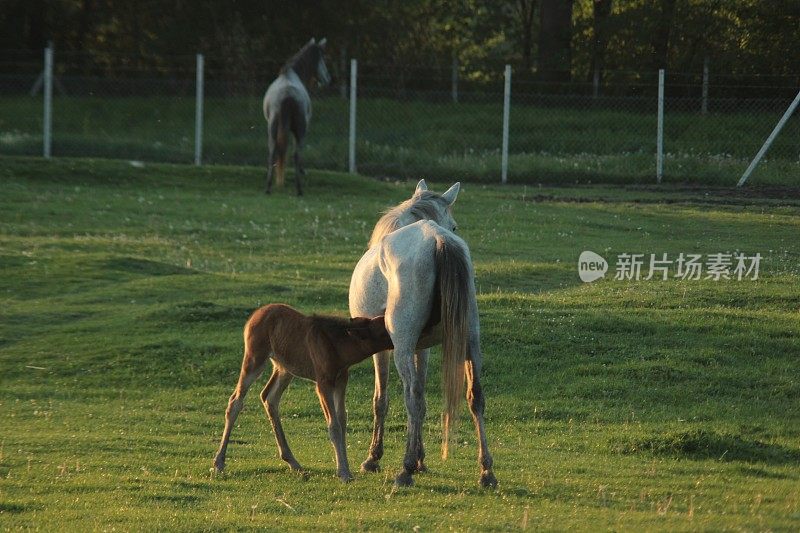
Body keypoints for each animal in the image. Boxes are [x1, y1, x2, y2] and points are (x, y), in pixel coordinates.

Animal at [209, 302, 390, 480]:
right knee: (236, 401)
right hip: (255, 359)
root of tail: (254, 316)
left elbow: (342, 420)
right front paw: (344, 473)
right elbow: (334, 425)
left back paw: (293, 462)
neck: (339, 345)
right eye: (385, 330)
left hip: (284, 368)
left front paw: (346, 469)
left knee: (269, 397)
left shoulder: (341, 380)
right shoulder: (322, 383)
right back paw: (219, 462)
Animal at [264, 37, 330, 195]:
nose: (327, 79)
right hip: (300, 128)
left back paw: (268, 187)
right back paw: (299, 188)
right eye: (322, 59)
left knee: (272, 151)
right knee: (296, 154)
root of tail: (287, 95)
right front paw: (302, 171)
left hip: (272, 128)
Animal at [348, 180, 494, 486]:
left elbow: (382, 400)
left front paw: (375, 458)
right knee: (475, 396)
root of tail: (436, 240)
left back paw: (405, 470)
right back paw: (486, 471)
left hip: (402, 348)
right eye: (454, 225)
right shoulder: (422, 348)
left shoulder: (383, 349)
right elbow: (426, 399)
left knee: (411, 396)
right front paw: (421, 459)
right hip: (470, 342)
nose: (452, 231)